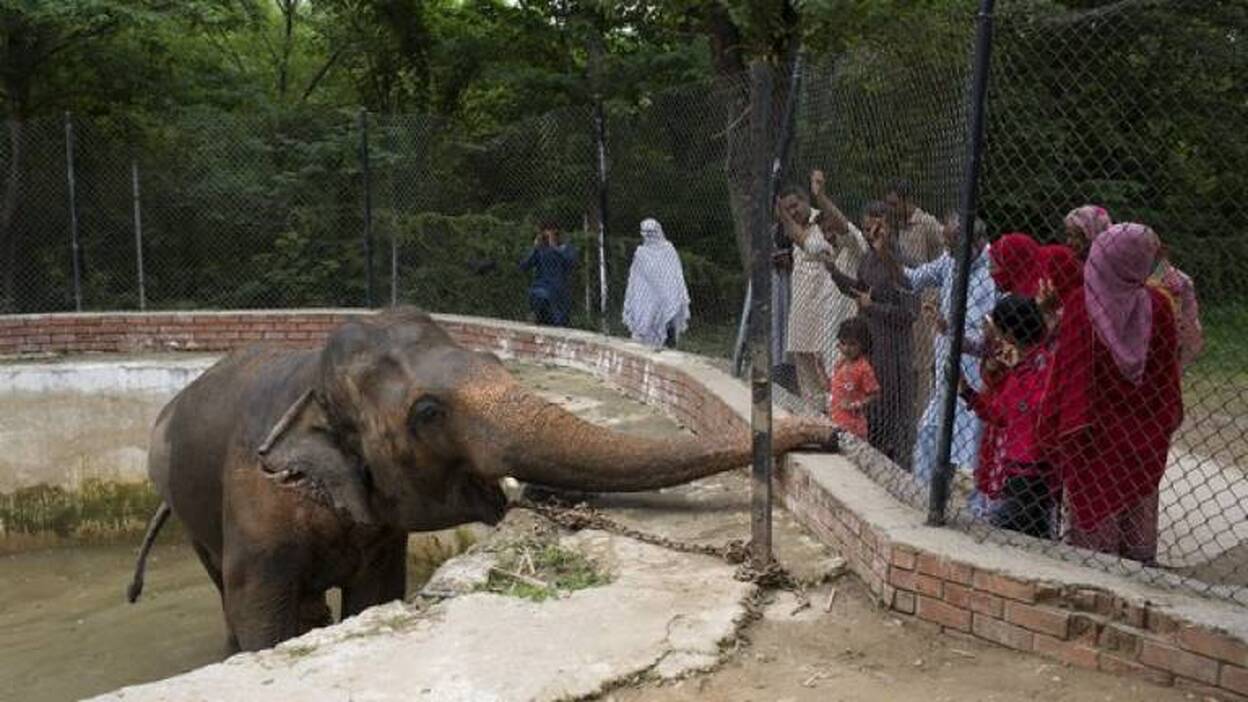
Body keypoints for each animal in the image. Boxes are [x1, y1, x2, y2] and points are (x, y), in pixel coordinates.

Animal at [126, 308, 834, 652]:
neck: (311, 385)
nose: (825, 434)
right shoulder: (256, 501)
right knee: (225, 589)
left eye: (497, 357)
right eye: (427, 413)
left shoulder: (379, 537)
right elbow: (260, 612)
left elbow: (374, 596)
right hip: (191, 510)